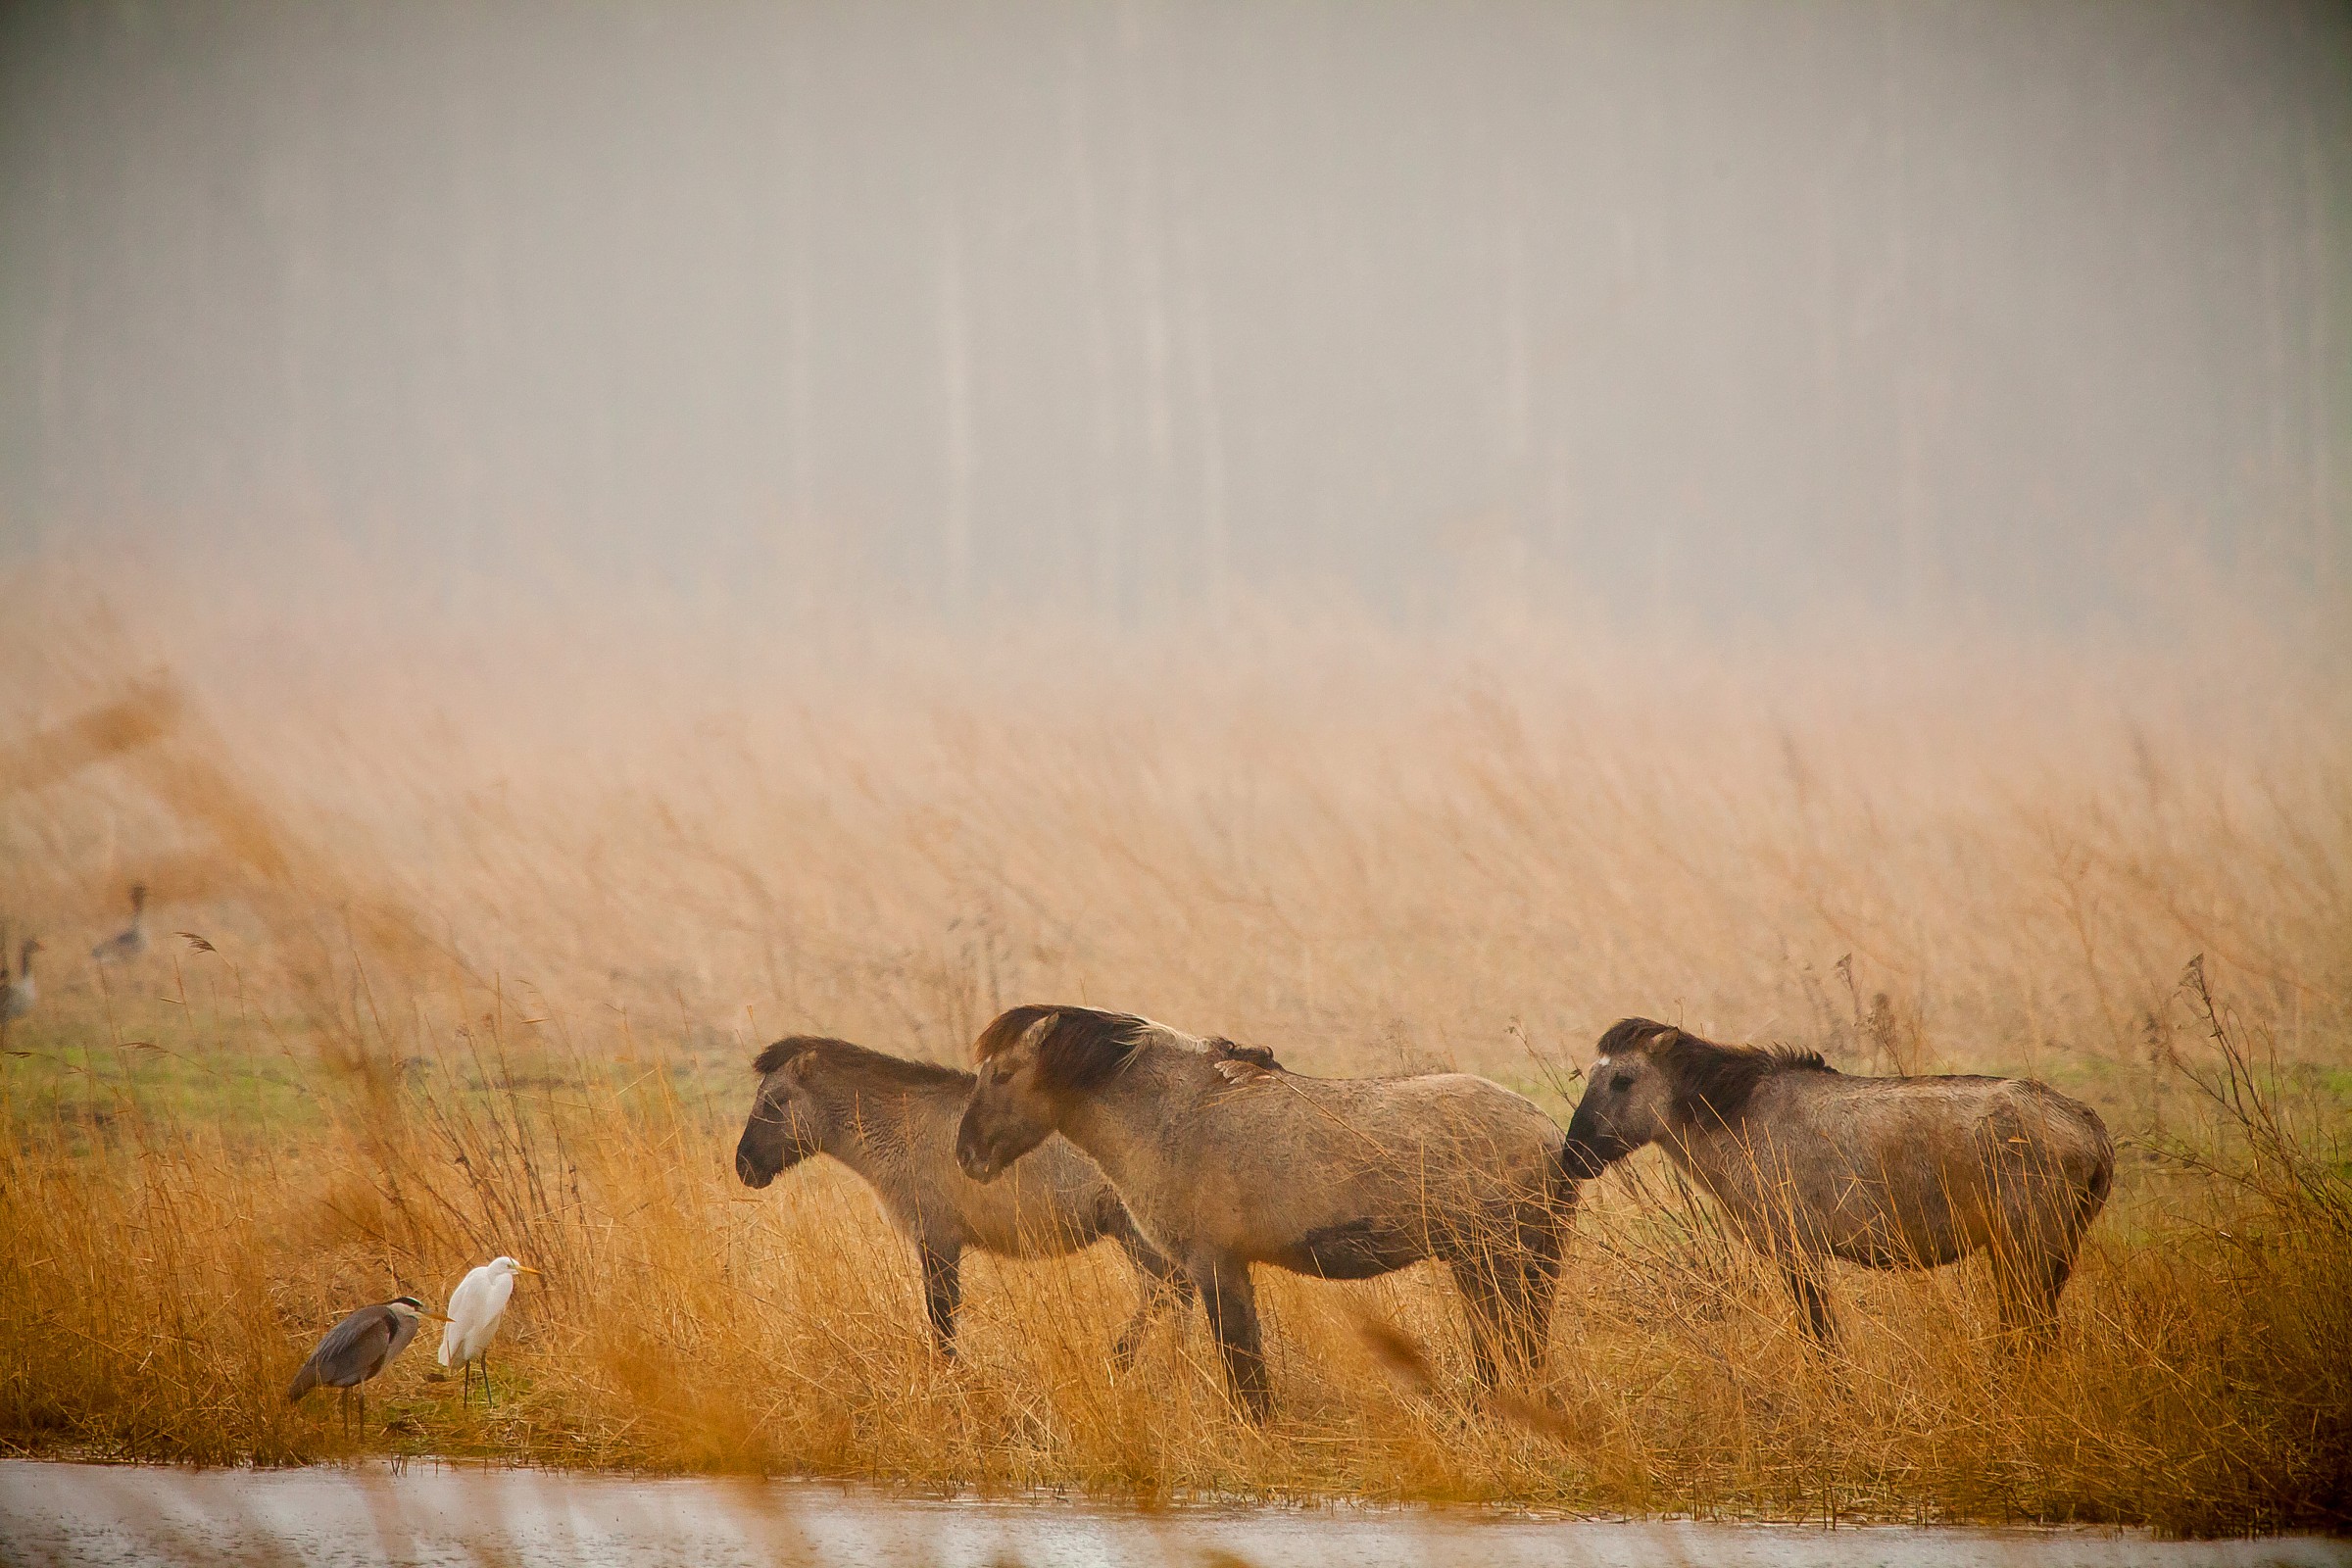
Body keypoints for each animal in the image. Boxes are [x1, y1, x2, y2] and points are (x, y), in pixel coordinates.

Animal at [734, 1035, 1191, 1364]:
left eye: (773, 1101)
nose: (744, 1166)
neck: (900, 1127)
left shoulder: (936, 1239)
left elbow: (942, 1318)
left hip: (1135, 1235)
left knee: (1168, 1292)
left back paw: (1129, 1362)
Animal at [954, 1005, 1578, 1419]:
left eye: (1002, 1074)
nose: (967, 1154)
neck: (1171, 1110)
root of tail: (1551, 1134)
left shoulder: (1213, 1267)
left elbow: (1242, 1366)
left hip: (1494, 1264)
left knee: (1512, 1343)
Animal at [1562, 1017, 2114, 1343]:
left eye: (1623, 1079)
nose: (1574, 1155)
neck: (1737, 1113)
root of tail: (2089, 1127)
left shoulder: (1798, 1251)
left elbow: (1821, 1340)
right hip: (2050, 1251)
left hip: (2027, 1251)